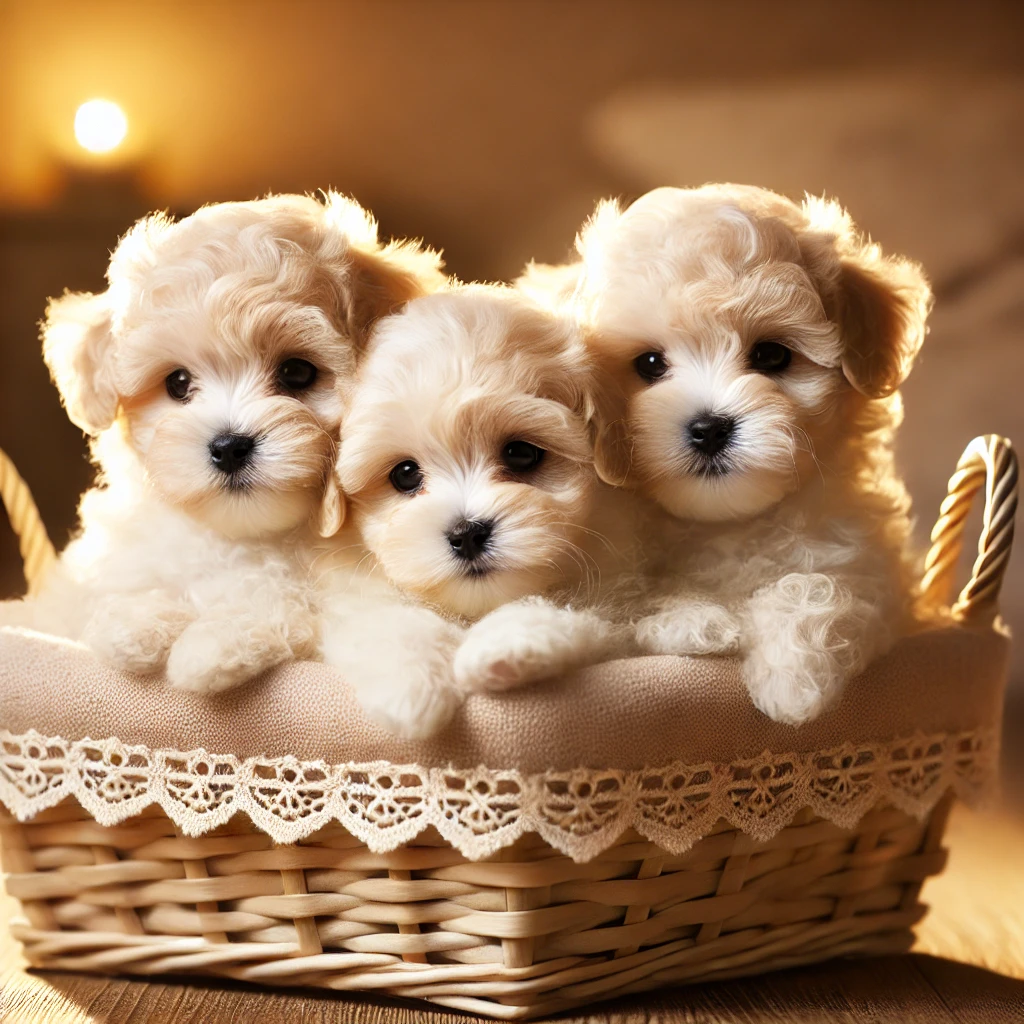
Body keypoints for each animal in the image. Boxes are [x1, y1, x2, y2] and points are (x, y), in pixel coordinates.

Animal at [12, 192, 444, 692]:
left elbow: (278, 607)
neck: (240, 536)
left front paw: (211, 647)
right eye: (178, 383)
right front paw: (136, 625)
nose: (229, 447)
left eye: (297, 373)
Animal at [321, 284, 638, 741]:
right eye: (405, 474)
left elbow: (574, 612)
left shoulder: (615, 597)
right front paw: (412, 686)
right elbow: (385, 618)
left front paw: (504, 646)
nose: (466, 533)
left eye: (521, 453)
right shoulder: (353, 589)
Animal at [544, 186, 937, 729]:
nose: (709, 428)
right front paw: (698, 622)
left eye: (772, 356)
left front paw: (794, 677)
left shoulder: (873, 570)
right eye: (650, 364)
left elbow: (820, 587)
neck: (727, 523)